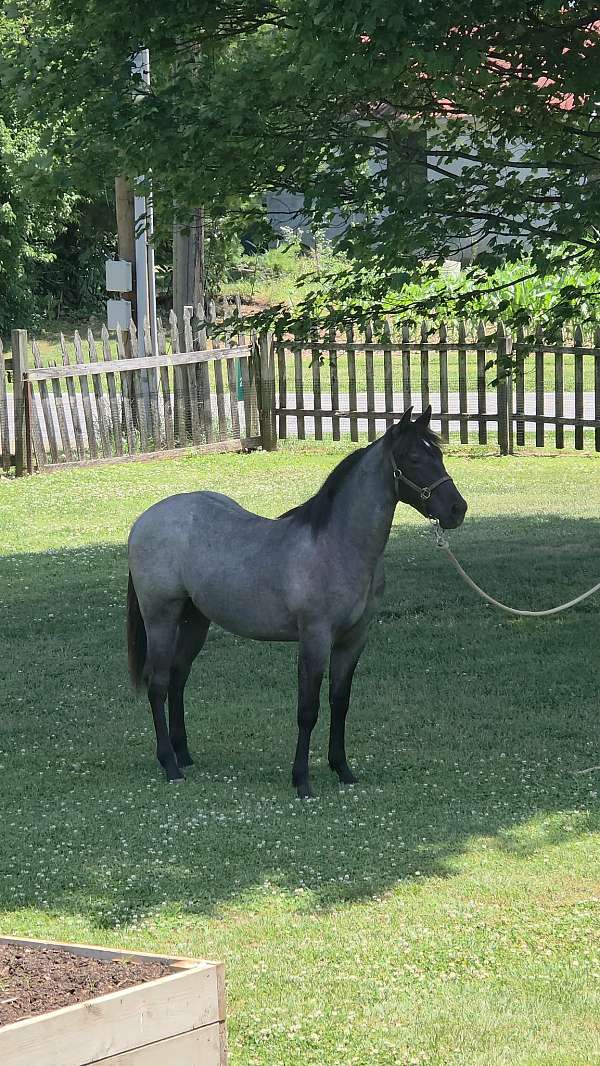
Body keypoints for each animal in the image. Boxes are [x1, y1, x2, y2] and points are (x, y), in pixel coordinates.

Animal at [126, 405, 467, 797]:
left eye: (438, 454)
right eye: (414, 457)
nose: (457, 509)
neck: (338, 546)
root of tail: (144, 521)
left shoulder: (353, 639)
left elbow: (340, 702)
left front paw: (342, 769)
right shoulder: (315, 638)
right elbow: (308, 709)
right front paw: (302, 780)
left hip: (195, 620)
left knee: (178, 678)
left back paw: (183, 755)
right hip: (161, 619)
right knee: (158, 684)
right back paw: (169, 764)